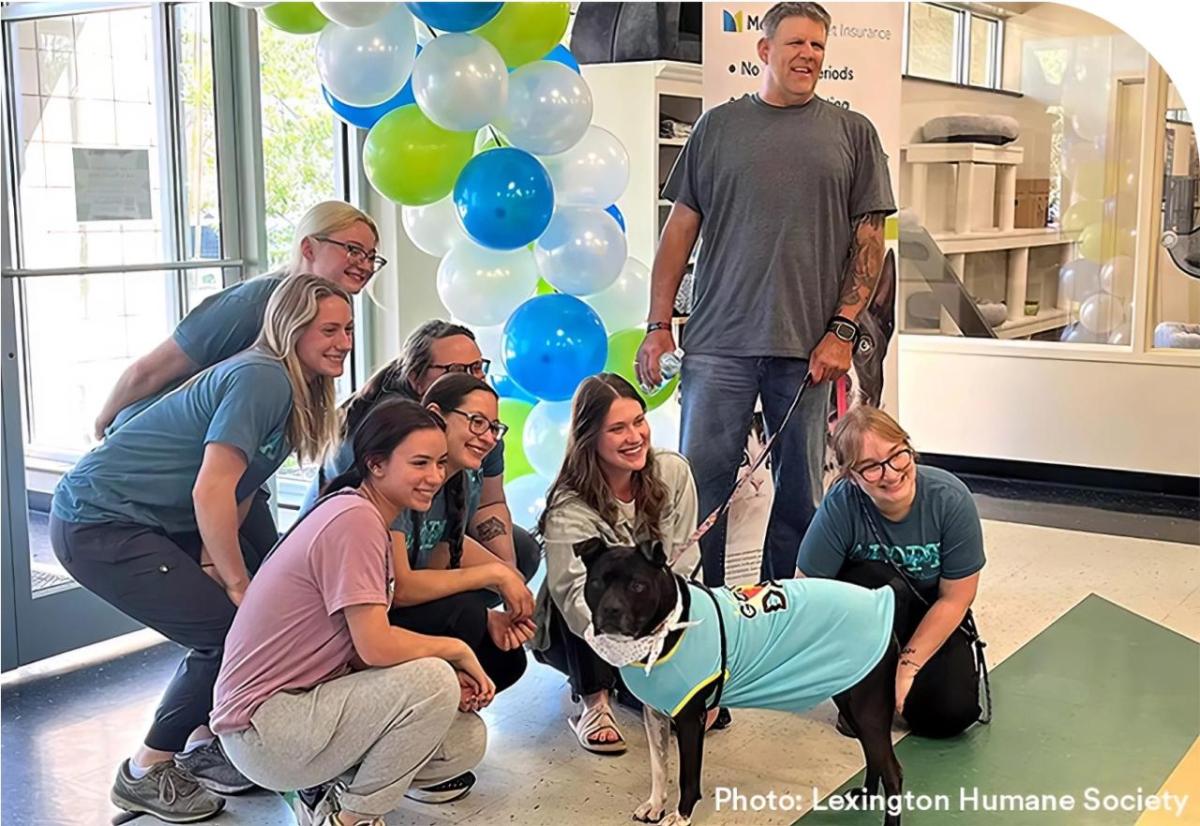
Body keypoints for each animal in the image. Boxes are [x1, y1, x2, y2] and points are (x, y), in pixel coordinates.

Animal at [576, 537, 902, 821]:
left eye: (637, 585)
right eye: (597, 582)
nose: (610, 610)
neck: (667, 627)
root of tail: (880, 599)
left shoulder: (690, 719)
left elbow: (687, 777)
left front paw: (681, 816)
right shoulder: (655, 713)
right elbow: (659, 767)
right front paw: (655, 805)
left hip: (868, 709)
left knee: (893, 772)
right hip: (851, 700)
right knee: (872, 755)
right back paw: (866, 794)